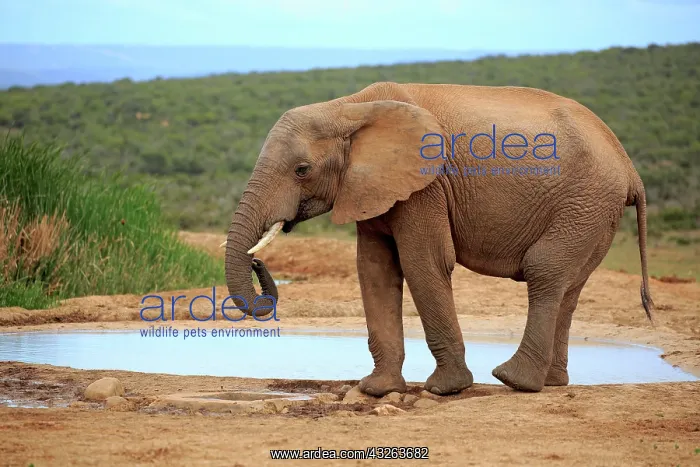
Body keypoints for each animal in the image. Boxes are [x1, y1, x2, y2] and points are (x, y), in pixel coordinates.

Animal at [223, 81, 655, 396]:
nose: (258, 260)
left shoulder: (426, 184)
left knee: (545, 271)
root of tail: (630, 168)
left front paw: (445, 390)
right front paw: (377, 389)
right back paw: (551, 383)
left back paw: (514, 381)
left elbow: (422, 262)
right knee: (569, 286)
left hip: (586, 202)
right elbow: (375, 270)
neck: (351, 107)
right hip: (594, 213)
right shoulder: (370, 187)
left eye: (302, 170)